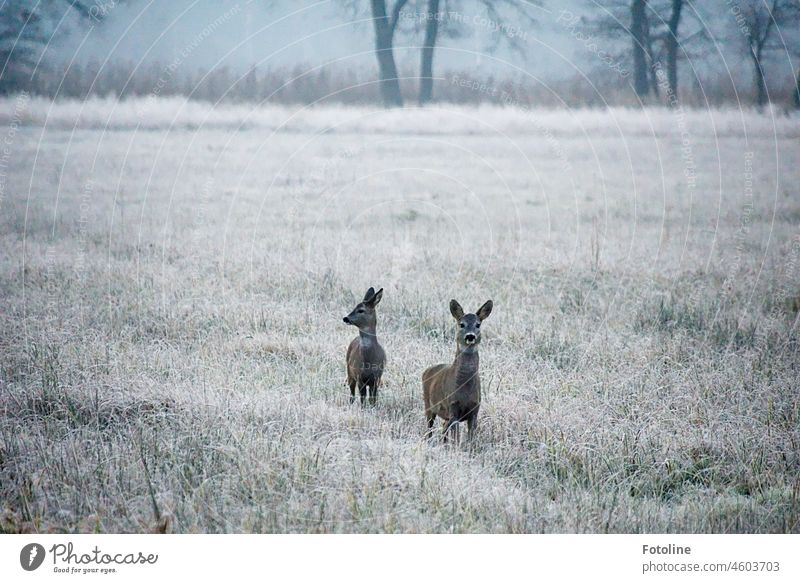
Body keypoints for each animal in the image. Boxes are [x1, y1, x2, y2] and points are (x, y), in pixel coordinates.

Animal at [422, 302, 490, 442]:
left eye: (478, 324)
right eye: (461, 324)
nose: (470, 336)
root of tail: (426, 371)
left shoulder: (475, 408)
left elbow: (471, 437)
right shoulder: (452, 407)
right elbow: (456, 437)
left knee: (443, 429)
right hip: (428, 404)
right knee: (430, 427)